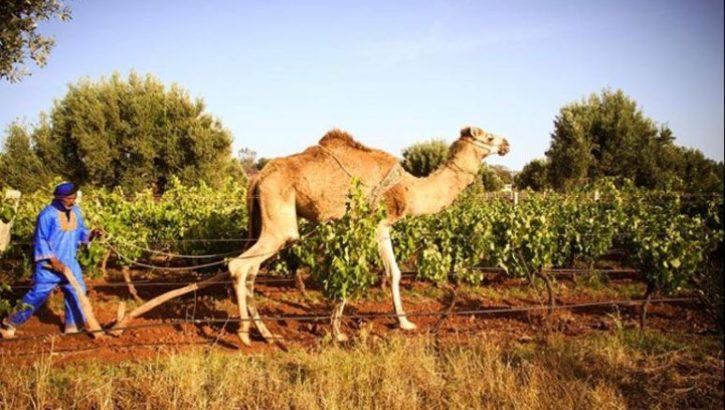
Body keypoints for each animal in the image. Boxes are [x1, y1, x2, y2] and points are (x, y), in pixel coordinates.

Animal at [228, 126, 510, 344]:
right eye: (488, 137)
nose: (507, 143)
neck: (409, 188)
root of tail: (257, 179)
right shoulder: (376, 223)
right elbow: (375, 272)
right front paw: (339, 332)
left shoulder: (371, 227)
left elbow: (392, 272)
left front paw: (403, 323)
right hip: (281, 224)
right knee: (238, 266)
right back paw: (244, 333)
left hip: (265, 222)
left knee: (251, 272)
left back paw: (267, 334)